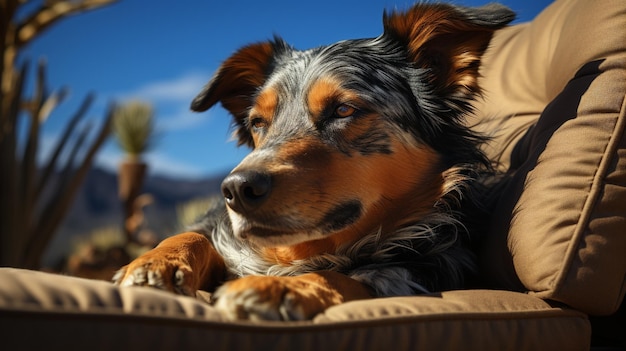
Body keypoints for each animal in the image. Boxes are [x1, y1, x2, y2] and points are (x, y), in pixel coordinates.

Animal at [113, 2, 512, 322]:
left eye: (344, 110)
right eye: (257, 123)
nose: (236, 190)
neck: (297, 252)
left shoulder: (428, 267)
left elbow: (346, 275)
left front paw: (283, 289)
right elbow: (192, 234)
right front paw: (155, 263)